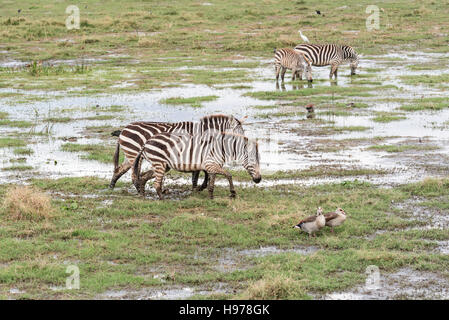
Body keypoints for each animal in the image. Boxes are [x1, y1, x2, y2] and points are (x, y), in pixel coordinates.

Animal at [110, 114, 247, 191]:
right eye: (239, 132)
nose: (245, 143)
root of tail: (124, 129)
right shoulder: (195, 152)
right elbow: (200, 172)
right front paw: (198, 187)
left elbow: (202, 171)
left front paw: (199, 187)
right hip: (133, 154)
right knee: (133, 174)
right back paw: (139, 190)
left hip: (130, 155)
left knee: (120, 169)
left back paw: (112, 186)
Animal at [131, 131, 260, 199]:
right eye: (254, 162)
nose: (259, 180)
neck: (222, 149)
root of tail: (146, 142)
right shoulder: (210, 164)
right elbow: (228, 174)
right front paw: (232, 193)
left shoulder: (212, 167)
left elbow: (212, 182)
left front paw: (211, 197)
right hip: (160, 164)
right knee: (156, 183)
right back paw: (163, 199)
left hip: (163, 165)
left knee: (144, 176)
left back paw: (143, 194)